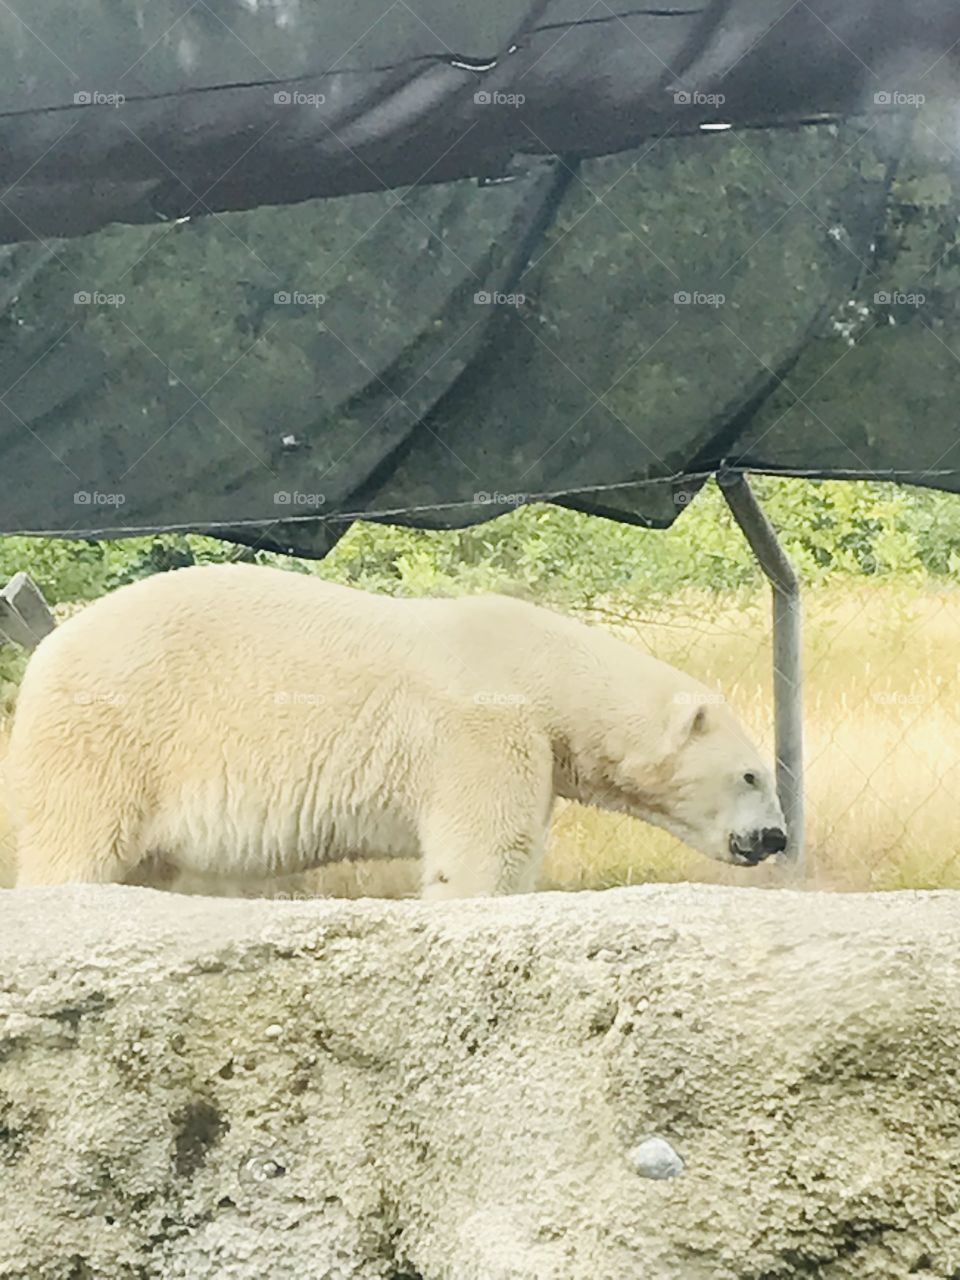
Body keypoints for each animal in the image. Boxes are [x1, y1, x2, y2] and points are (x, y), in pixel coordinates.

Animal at [8, 563, 787, 898]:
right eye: (752, 774)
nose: (775, 838)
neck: (540, 668)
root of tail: (44, 653)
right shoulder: (483, 730)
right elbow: (481, 854)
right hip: (111, 737)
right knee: (74, 845)